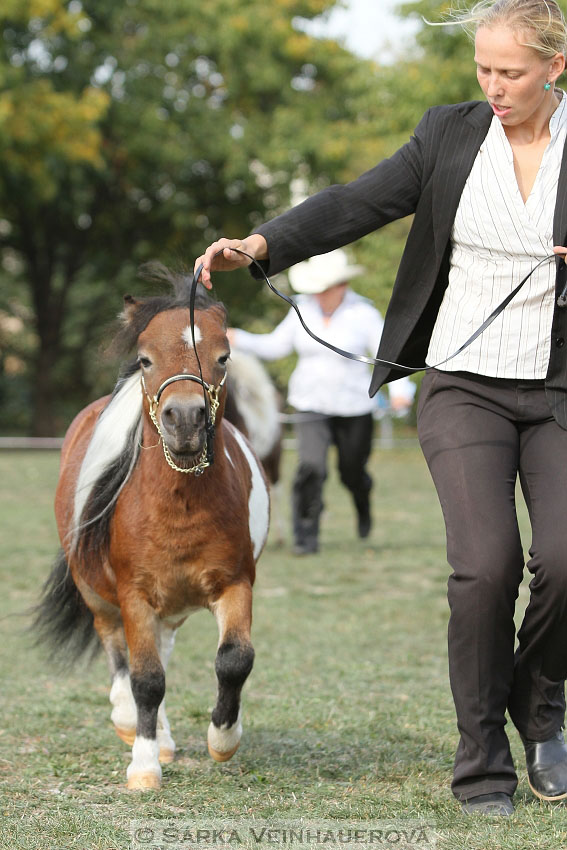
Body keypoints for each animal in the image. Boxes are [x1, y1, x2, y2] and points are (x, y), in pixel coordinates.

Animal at [35, 270, 270, 788]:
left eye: (223, 356)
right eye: (146, 359)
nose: (184, 419)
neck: (179, 505)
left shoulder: (235, 583)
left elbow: (234, 659)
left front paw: (222, 740)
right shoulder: (134, 594)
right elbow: (145, 678)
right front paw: (142, 765)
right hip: (99, 595)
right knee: (120, 654)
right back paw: (132, 725)